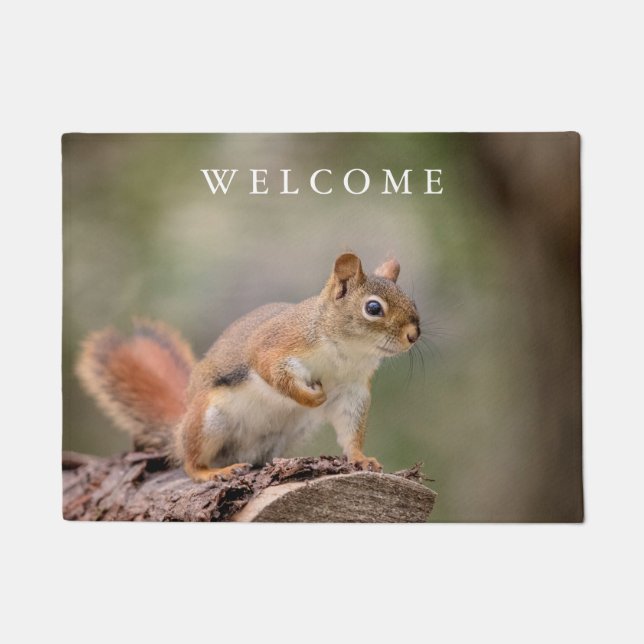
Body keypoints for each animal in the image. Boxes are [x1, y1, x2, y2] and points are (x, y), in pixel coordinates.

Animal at [76, 252, 420, 482]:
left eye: (412, 302)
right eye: (373, 308)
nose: (413, 335)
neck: (347, 352)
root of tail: (179, 426)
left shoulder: (352, 389)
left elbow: (350, 428)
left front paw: (361, 459)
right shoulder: (276, 344)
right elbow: (272, 371)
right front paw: (310, 397)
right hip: (208, 419)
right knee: (190, 461)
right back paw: (211, 472)